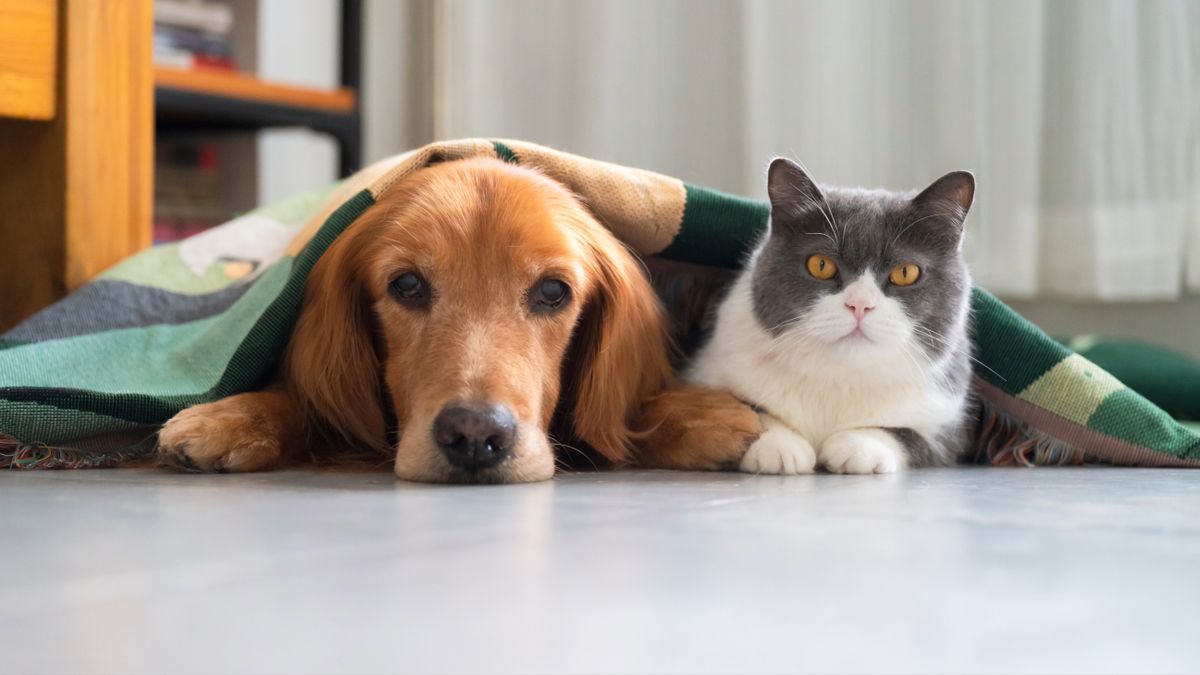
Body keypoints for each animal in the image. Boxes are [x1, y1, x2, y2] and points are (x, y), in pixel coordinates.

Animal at [159, 158, 758, 480]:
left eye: (552, 291)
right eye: (406, 285)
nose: (474, 435)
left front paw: (704, 416)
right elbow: (303, 402)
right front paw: (229, 418)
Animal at [691, 157, 979, 473]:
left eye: (905, 272)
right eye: (820, 264)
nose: (860, 305)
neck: (840, 377)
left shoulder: (949, 425)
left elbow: (910, 434)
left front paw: (859, 446)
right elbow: (740, 406)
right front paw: (778, 444)